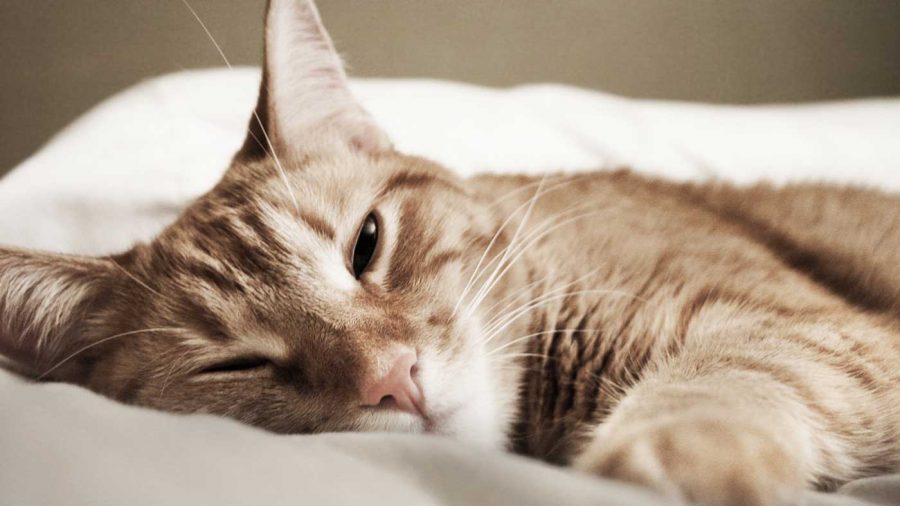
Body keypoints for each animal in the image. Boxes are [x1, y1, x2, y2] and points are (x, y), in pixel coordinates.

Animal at [1, 0, 900, 504]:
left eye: (366, 245)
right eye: (236, 366)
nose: (392, 377)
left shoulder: (813, 331)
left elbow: (723, 380)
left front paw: (668, 459)